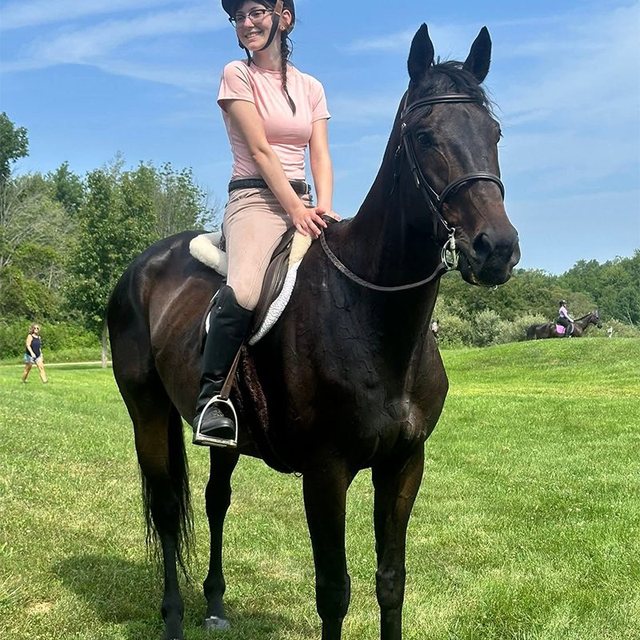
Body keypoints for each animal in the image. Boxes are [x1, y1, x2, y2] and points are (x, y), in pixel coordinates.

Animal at [107, 24, 520, 640]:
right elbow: (334, 591)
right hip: (148, 413)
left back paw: (215, 605)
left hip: (225, 436)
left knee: (215, 499)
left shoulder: (404, 465)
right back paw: (175, 617)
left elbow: (391, 580)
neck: (368, 310)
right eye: (425, 137)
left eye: (493, 134)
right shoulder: (326, 473)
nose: (496, 249)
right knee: (165, 508)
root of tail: (141, 266)